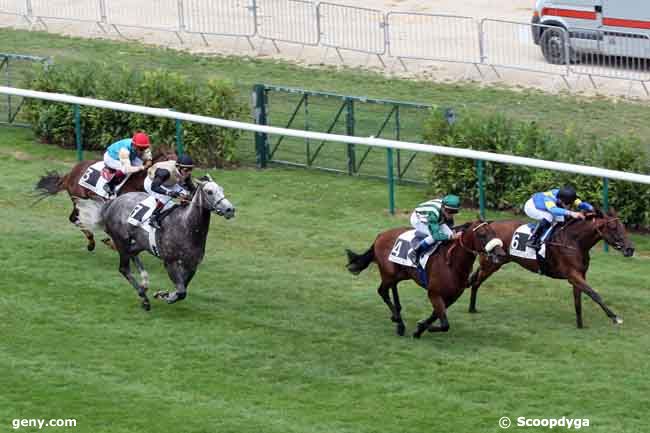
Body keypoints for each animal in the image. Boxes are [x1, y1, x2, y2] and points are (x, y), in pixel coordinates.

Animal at [33, 148, 176, 251]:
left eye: (177, 162)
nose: (180, 177)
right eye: (169, 161)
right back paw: (91, 242)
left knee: (74, 218)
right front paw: (112, 243)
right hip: (79, 199)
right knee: (74, 218)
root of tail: (70, 174)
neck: (137, 182)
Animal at [74, 176, 234, 310]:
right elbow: (181, 290)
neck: (186, 226)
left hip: (140, 242)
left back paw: (144, 283)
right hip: (121, 239)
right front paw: (166, 296)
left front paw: (164, 294)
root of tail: (112, 202)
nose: (230, 209)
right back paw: (144, 298)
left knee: (133, 254)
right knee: (124, 268)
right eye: (209, 192)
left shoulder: (192, 264)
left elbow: (182, 288)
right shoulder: (169, 262)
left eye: (221, 189)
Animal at [344, 219, 506, 338]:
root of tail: (381, 235)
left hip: (401, 274)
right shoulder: (433, 293)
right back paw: (399, 322)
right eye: (482, 234)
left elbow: (436, 315)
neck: (452, 263)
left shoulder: (452, 296)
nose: (501, 253)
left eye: (493, 232)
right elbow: (444, 324)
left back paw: (397, 315)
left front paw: (420, 328)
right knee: (382, 291)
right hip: (388, 273)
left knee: (392, 288)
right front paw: (423, 328)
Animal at [466, 209, 632, 328]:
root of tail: (489, 224)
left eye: (623, 227)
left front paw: (580, 325)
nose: (630, 249)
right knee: (476, 282)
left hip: (491, 263)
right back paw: (472, 308)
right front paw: (615, 318)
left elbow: (578, 300)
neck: (574, 242)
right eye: (613, 227)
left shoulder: (579, 275)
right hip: (491, 265)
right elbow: (594, 293)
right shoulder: (572, 274)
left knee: (474, 279)